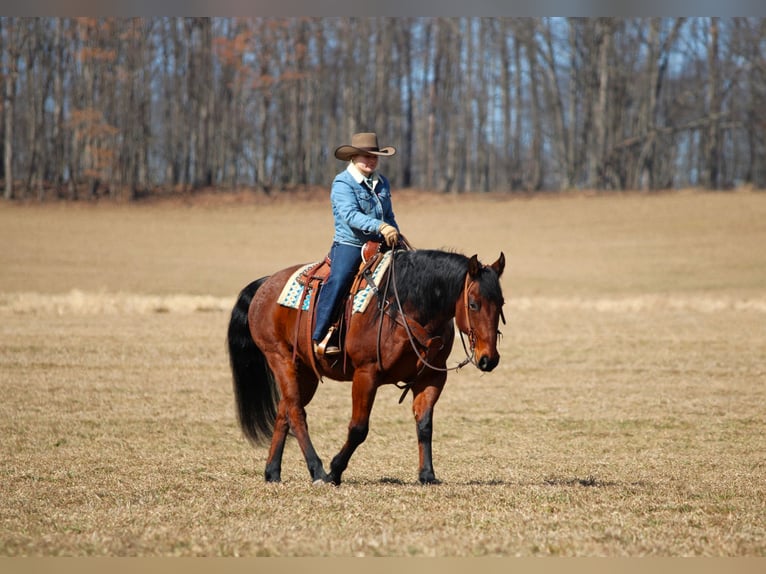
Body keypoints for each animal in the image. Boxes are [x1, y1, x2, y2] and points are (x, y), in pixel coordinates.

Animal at [227, 247, 506, 485]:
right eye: (473, 304)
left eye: (501, 303)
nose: (489, 358)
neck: (406, 309)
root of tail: (265, 284)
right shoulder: (366, 374)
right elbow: (358, 428)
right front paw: (335, 471)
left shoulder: (431, 377)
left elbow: (425, 424)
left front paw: (427, 474)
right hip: (280, 359)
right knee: (296, 412)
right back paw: (317, 471)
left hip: (305, 371)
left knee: (284, 411)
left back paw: (272, 472)